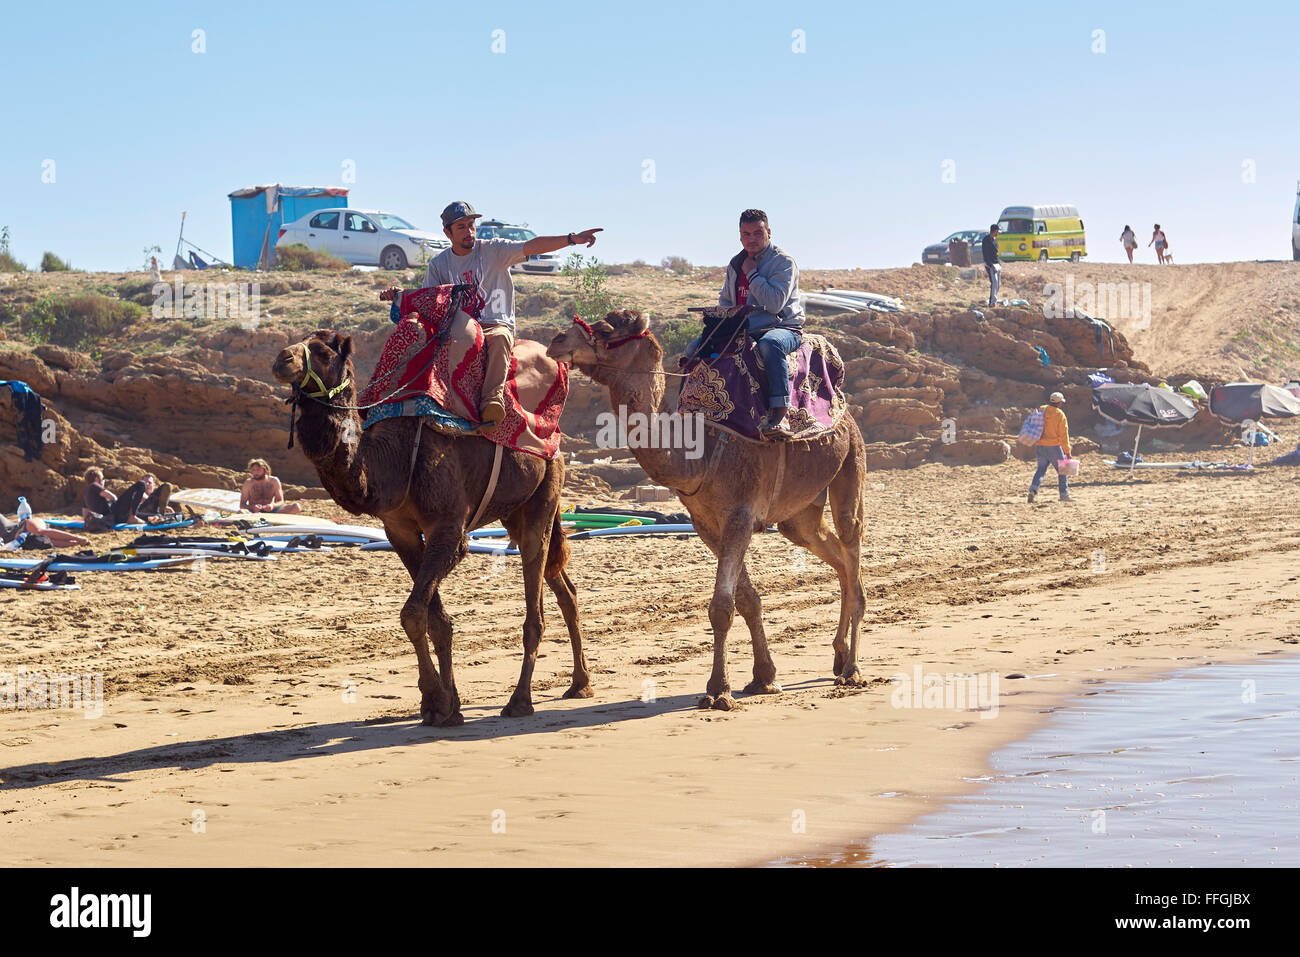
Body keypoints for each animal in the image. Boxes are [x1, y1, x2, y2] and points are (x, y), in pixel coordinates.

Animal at [275, 328, 598, 722]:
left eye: (322, 352)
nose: (281, 360)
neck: (395, 462)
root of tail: (557, 443)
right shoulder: (400, 532)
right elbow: (436, 619)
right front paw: (448, 705)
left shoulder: (448, 527)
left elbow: (413, 614)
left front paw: (435, 700)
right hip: (515, 511)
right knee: (565, 588)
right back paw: (580, 683)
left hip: (544, 494)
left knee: (535, 605)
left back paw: (520, 701)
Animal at [543, 308, 868, 712]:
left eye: (605, 330)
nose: (556, 341)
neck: (697, 453)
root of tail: (844, 411)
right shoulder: (706, 523)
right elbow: (746, 599)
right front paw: (764, 678)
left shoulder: (741, 515)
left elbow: (722, 606)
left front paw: (718, 689)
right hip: (800, 515)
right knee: (836, 558)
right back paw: (838, 656)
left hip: (850, 462)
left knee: (851, 544)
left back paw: (853, 669)